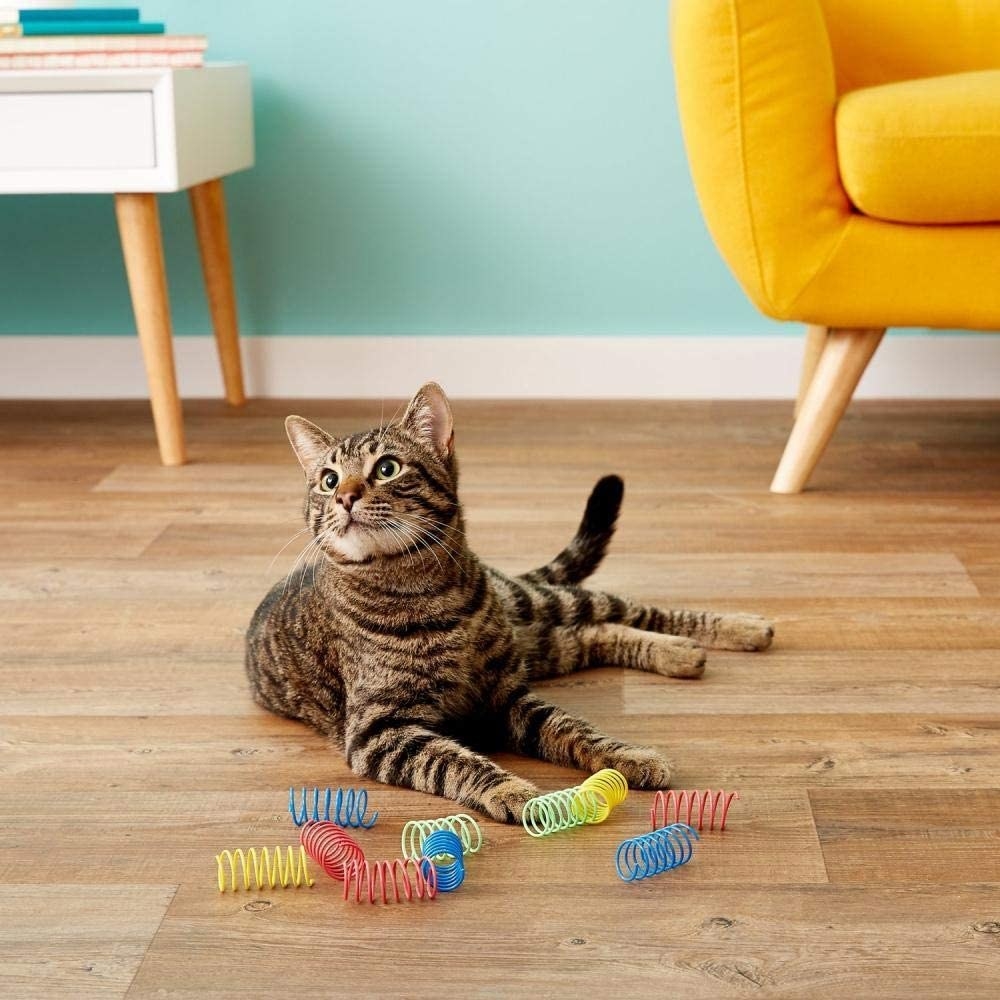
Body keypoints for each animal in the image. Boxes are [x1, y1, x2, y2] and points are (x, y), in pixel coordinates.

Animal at [246, 382, 776, 820]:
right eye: (328, 479)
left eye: (387, 468)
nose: (345, 497)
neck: (422, 591)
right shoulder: (380, 730)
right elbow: (455, 762)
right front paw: (515, 791)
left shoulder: (506, 695)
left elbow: (574, 729)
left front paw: (628, 754)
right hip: (538, 647)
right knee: (592, 632)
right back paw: (680, 653)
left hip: (533, 606)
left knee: (622, 608)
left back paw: (734, 631)